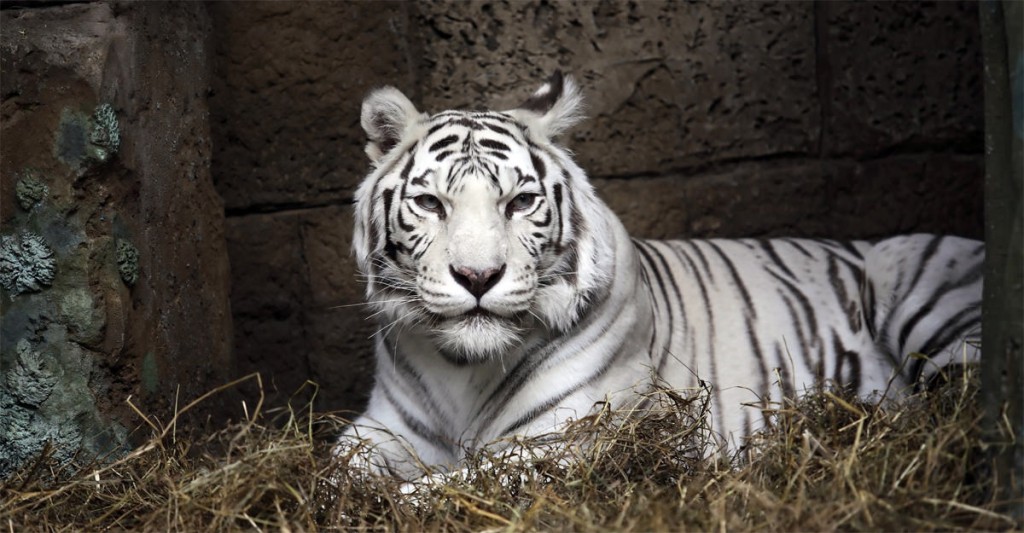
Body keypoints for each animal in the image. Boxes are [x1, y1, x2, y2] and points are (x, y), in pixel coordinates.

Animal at [337, 71, 983, 478]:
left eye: (519, 203)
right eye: (431, 204)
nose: (478, 276)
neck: (462, 367)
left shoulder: (562, 439)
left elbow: (437, 491)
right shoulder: (386, 428)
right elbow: (337, 469)